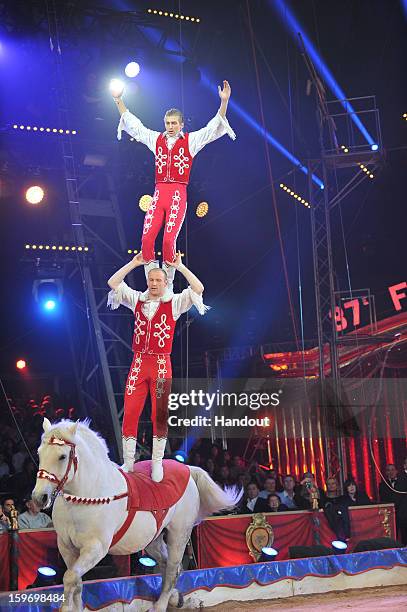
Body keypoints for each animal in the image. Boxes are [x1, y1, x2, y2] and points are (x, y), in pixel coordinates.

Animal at [33, 418, 241, 612]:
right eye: (39, 453)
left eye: (62, 456)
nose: (39, 498)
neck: (85, 496)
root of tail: (187, 469)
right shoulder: (66, 546)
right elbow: (75, 581)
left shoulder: (95, 548)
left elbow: (69, 578)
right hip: (152, 541)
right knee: (166, 564)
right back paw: (176, 598)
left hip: (179, 534)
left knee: (173, 568)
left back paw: (160, 605)